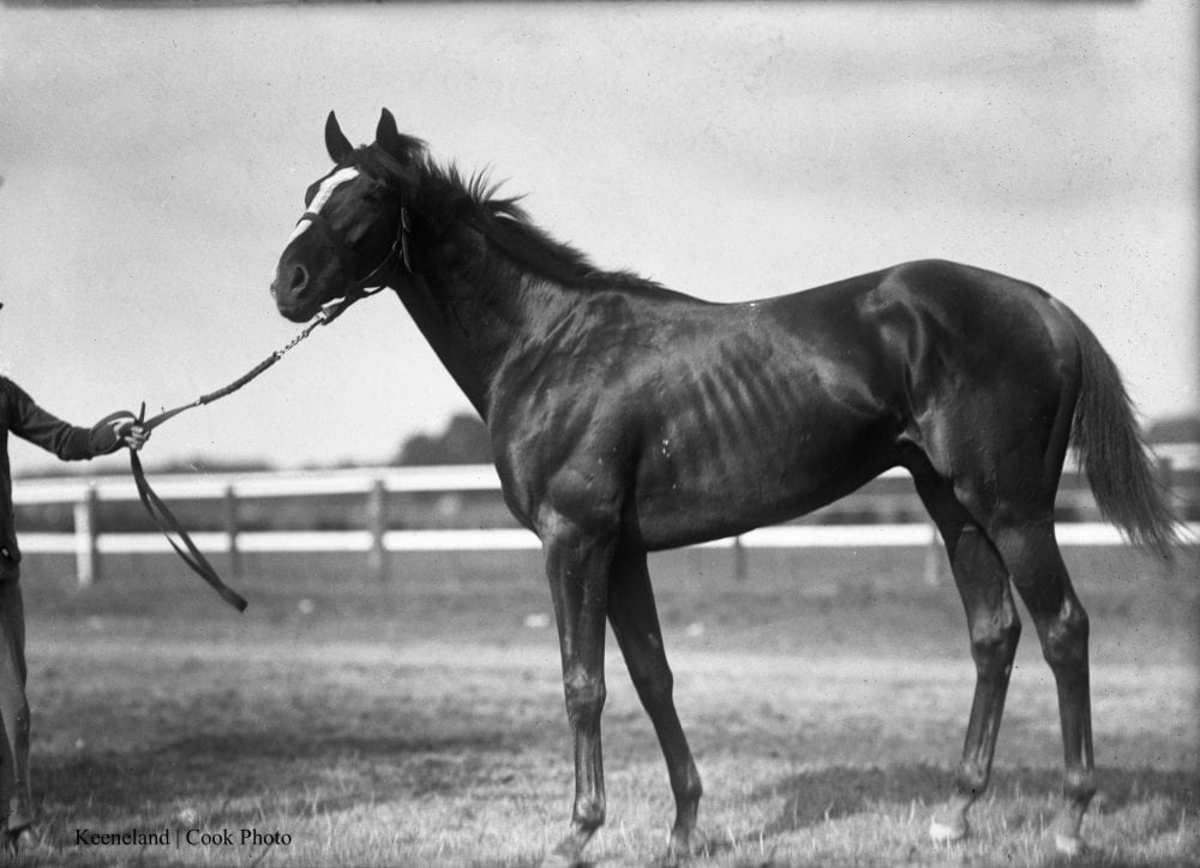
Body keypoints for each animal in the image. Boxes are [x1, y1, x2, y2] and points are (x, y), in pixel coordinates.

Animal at [269, 109, 1177, 865]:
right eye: (311, 192)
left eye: (371, 192)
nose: (289, 283)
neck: (549, 345)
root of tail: (1046, 306)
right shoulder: (622, 551)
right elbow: (651, 677)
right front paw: (684, 827)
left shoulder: (575, 540)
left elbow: (583, 685)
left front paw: (577, 832)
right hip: (952, 506)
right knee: (994, 634)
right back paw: (955, 814)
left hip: (1013, 509)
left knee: (1063, 629)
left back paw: (1069, 821)